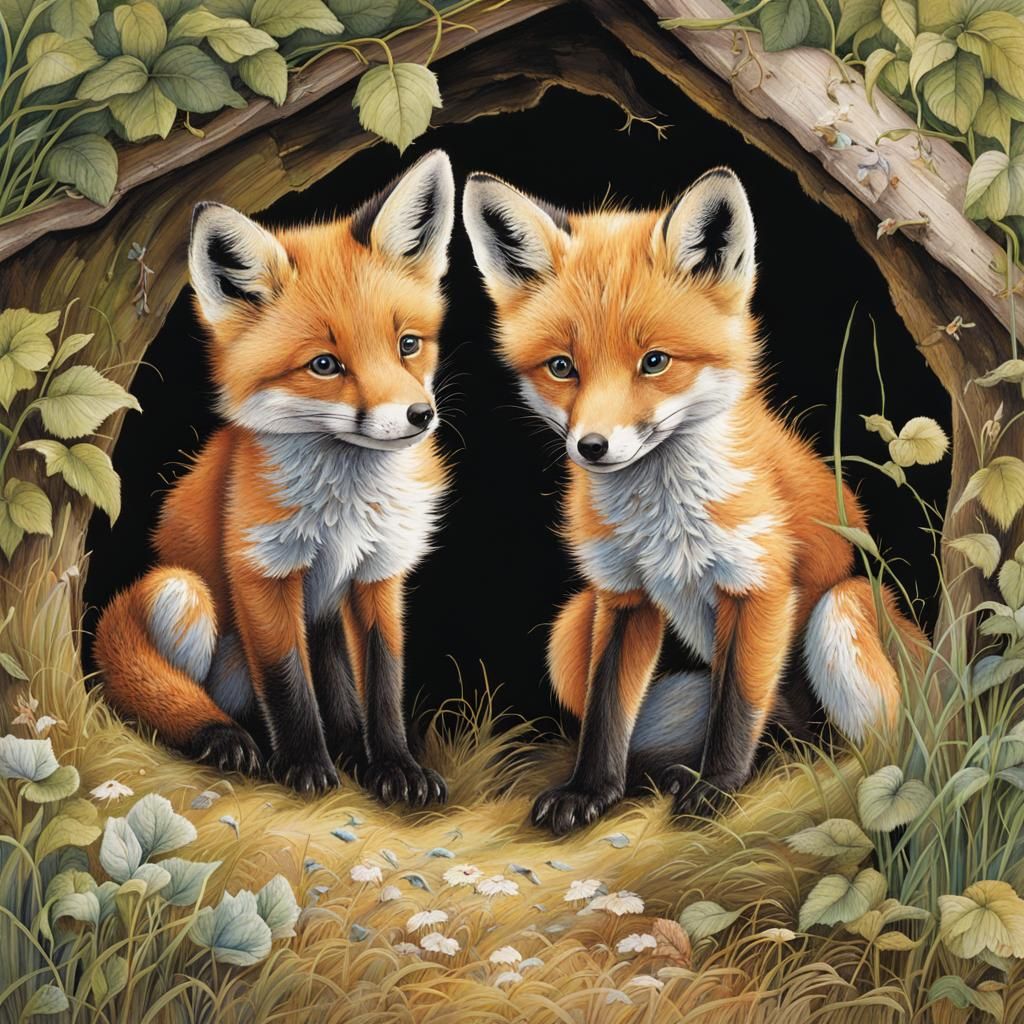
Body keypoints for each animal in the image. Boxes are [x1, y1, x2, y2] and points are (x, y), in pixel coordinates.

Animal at [94, 150, 456, 802]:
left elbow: (383, 681)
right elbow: (288, 683)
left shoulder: (377, 574)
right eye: (325, 365)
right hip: (180, 593)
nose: (420, 416)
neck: (344, 507)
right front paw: (307, 766)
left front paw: (395, 768)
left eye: (408, 344)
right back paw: (243, 739)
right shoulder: (262, 570)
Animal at [462, 166, 926, 834]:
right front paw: (590, 790)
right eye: (562, 367)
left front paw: (717, 786)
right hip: (571, 624)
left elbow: (737, 706)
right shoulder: (621, 595)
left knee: (873, 742)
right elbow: (606, 710)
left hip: (841, 609)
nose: (592, 447)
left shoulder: (759, 584)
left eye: (655, 361)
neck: (664, 523)